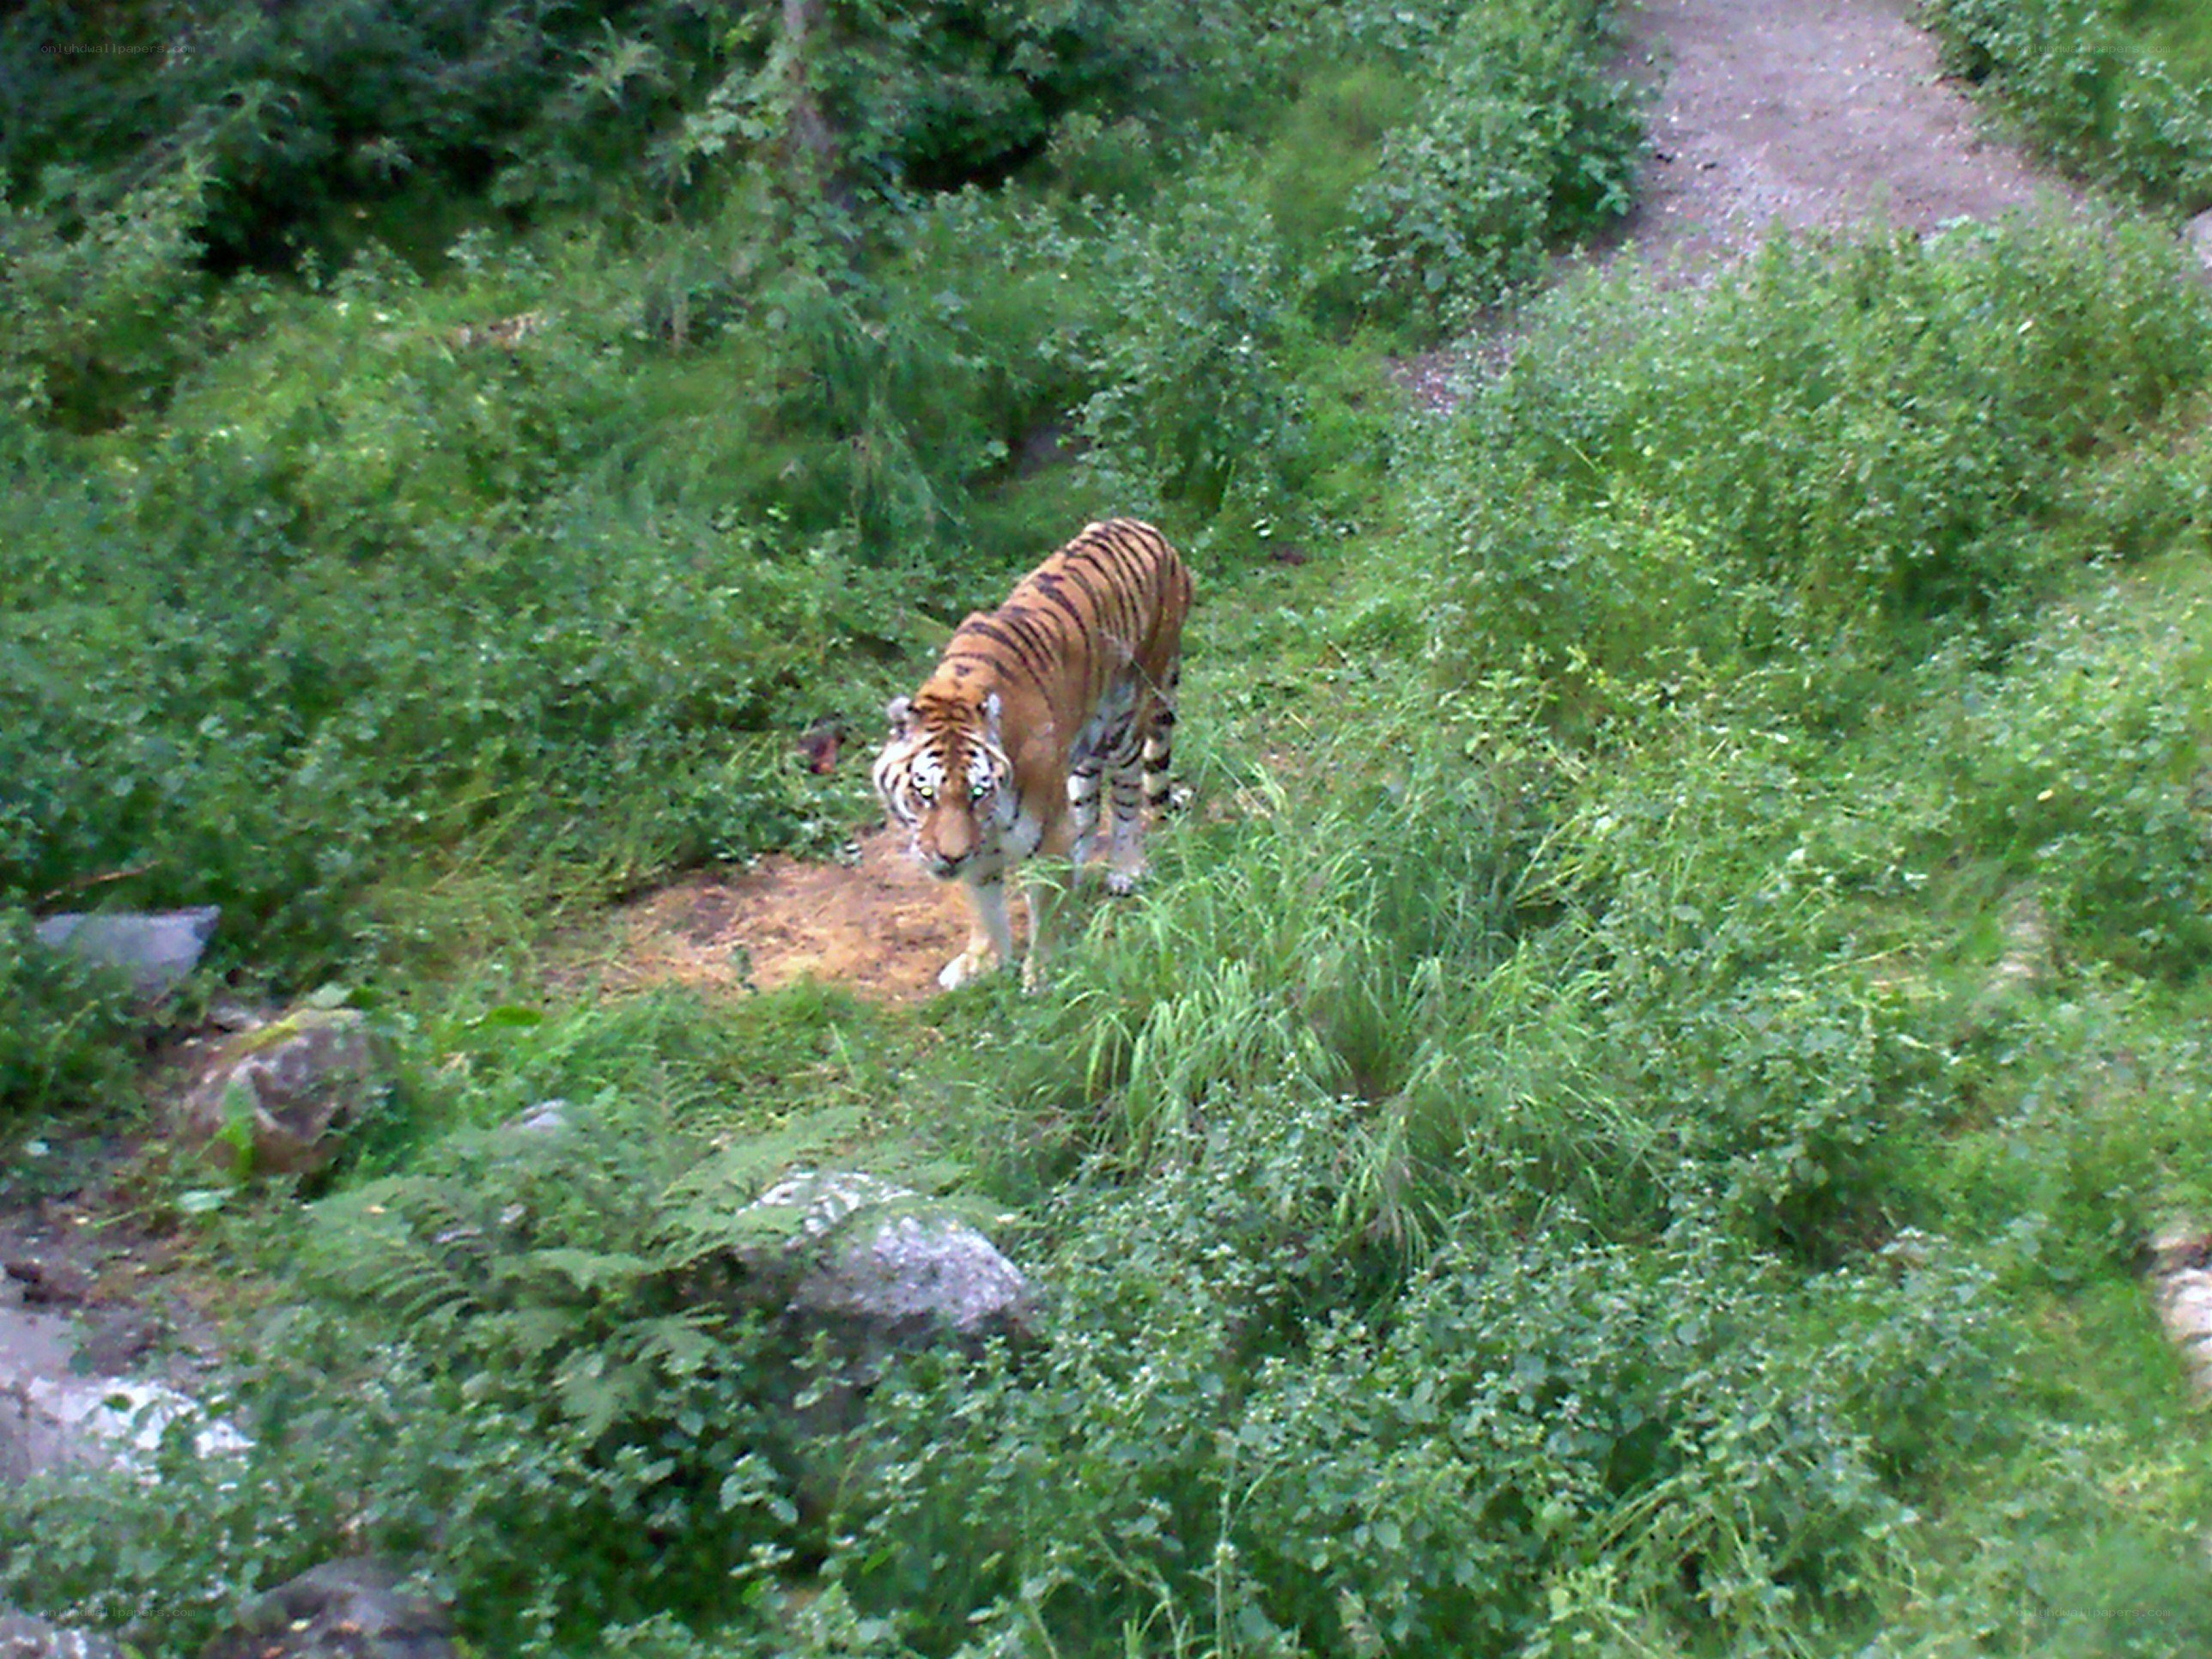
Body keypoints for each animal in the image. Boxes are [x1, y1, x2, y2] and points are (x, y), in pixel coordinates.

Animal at [872, 518, 1193, 991]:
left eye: (978, 792)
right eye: (924, 793)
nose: (950, 857)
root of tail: (1152, 531)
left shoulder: (1045, 829)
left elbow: (1044, 905)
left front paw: (1042, 972)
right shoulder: (980, 848)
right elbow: (983, 902)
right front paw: (982, 961)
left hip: (1131, 712)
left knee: (1127, 797)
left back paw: (1127, 869)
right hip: (1085, 744)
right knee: (1087, 801)